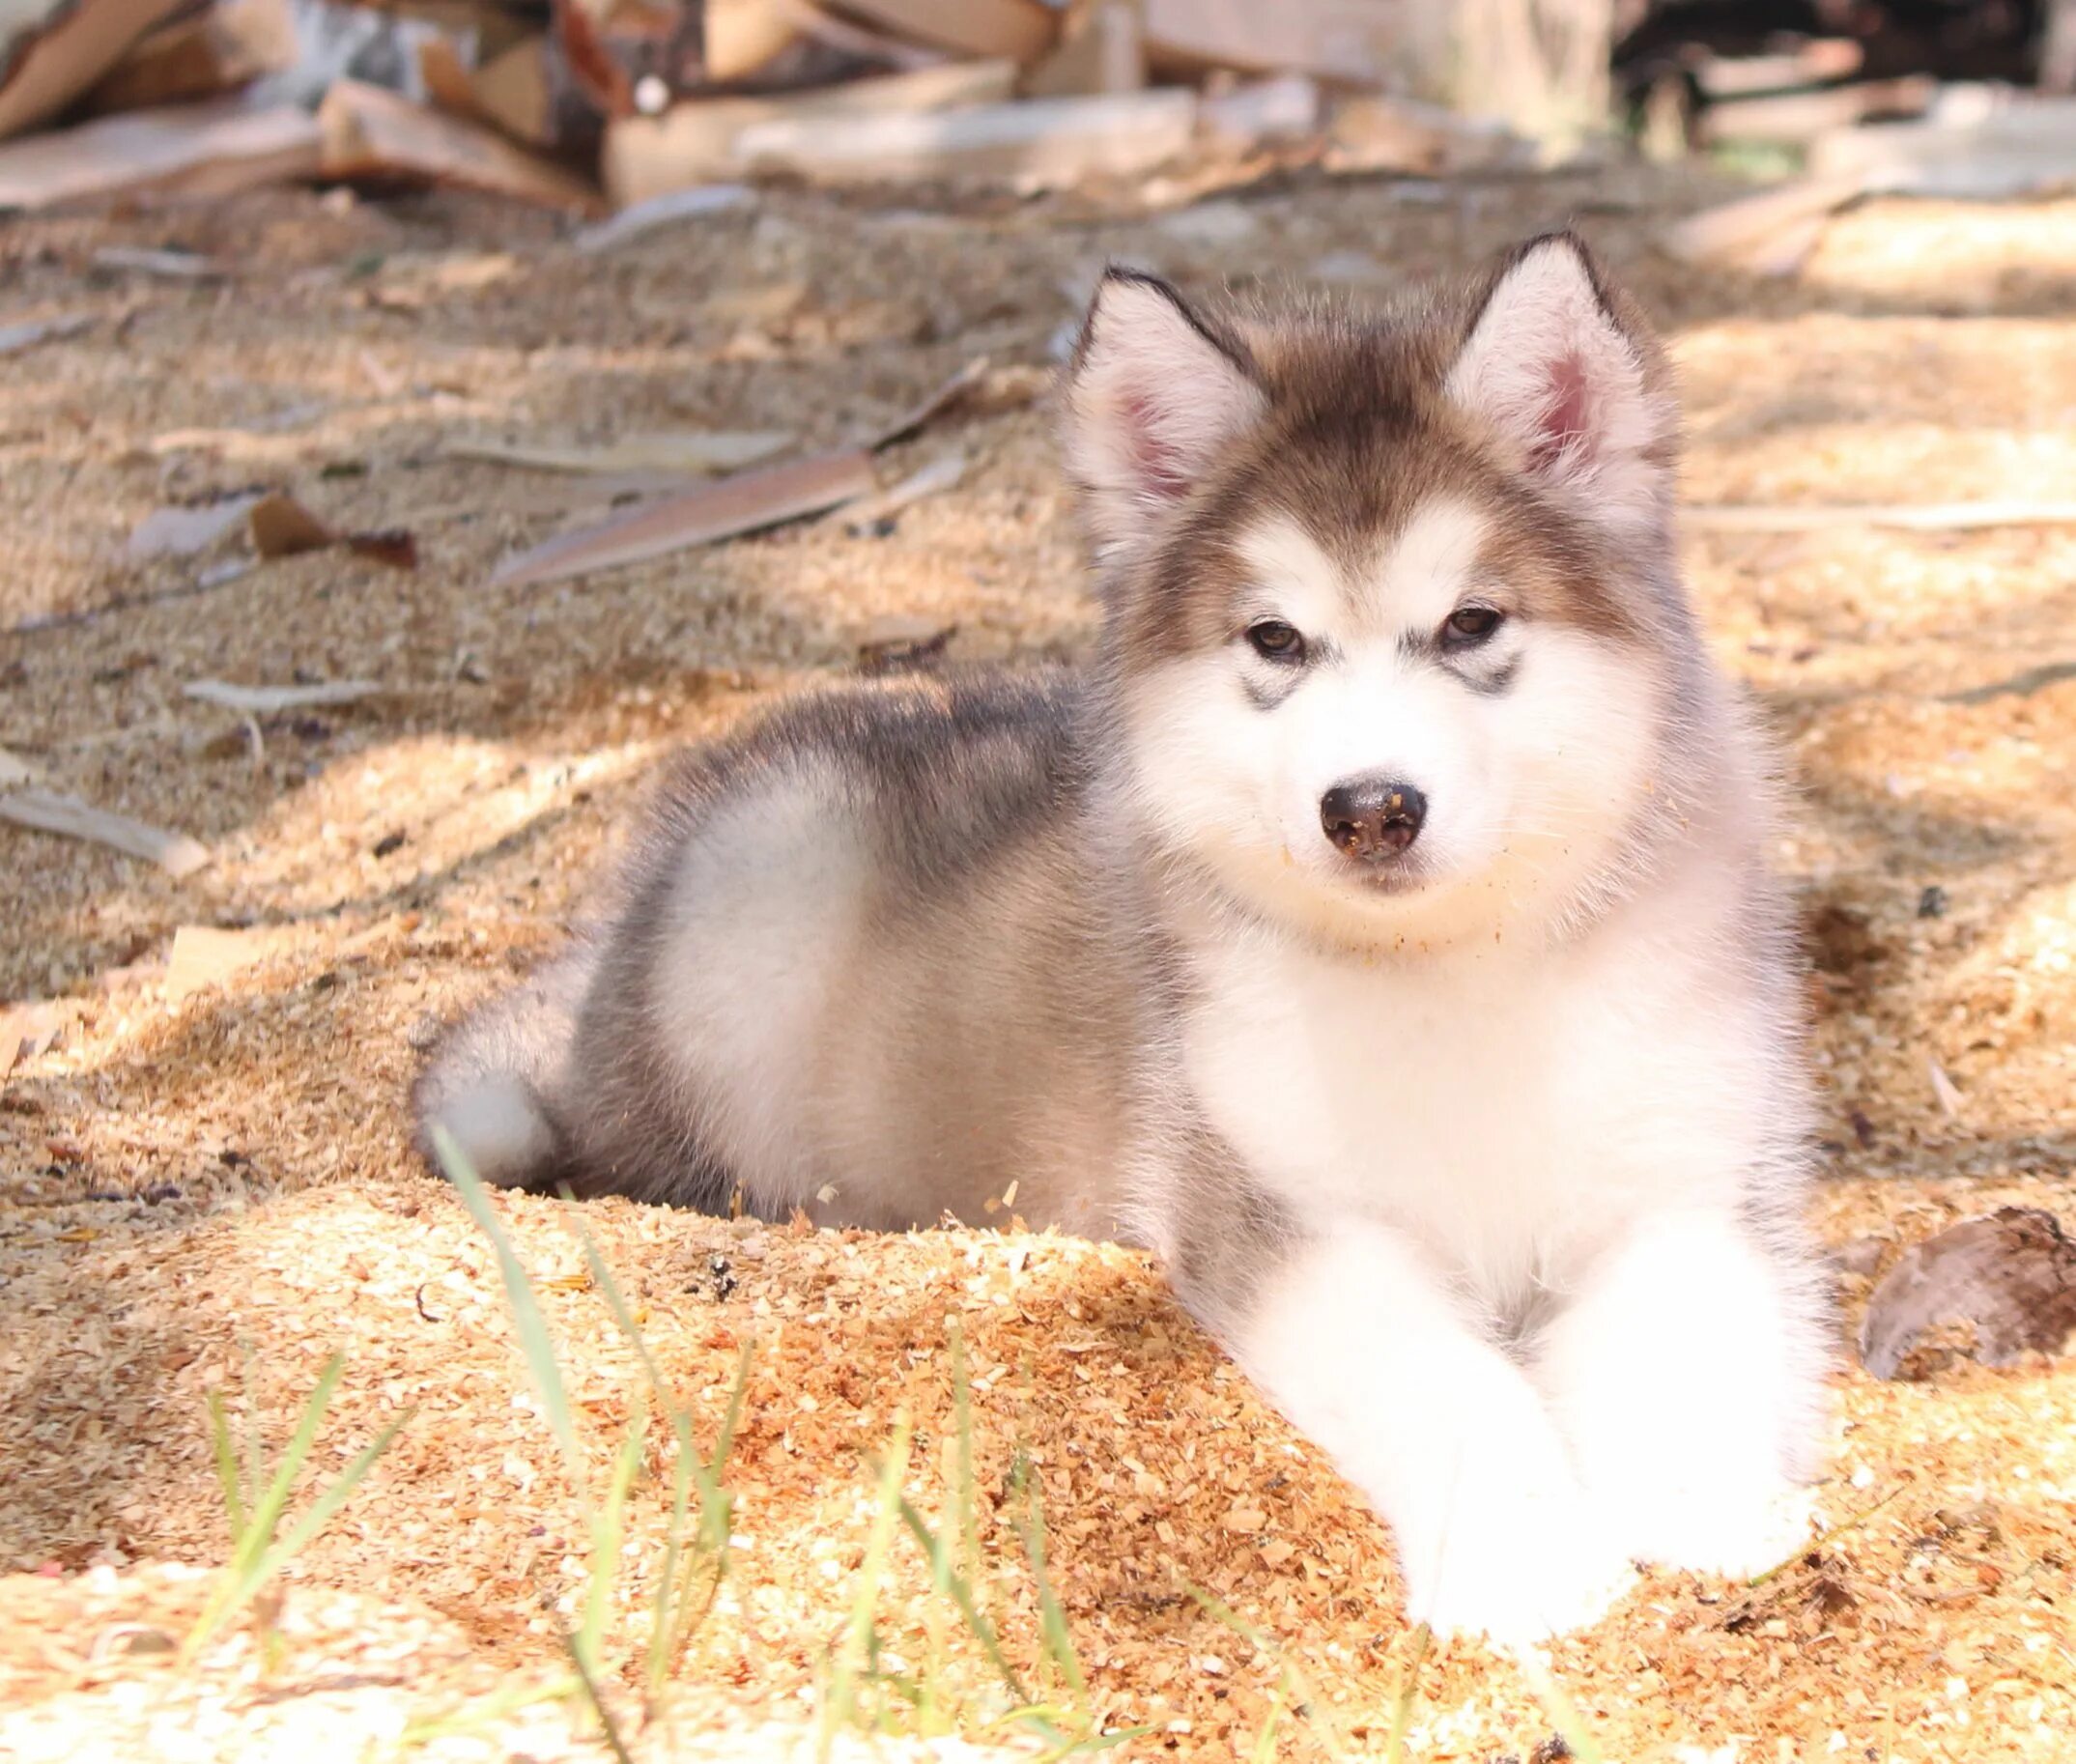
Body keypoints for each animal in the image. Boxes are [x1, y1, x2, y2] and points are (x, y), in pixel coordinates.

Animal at [421, 233, 1834, 1635]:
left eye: (1472, 623)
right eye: (1275, 637)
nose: (1370, 809)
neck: (1452, 977)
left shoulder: (1686, 1182)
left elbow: (1687, 1342)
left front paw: (1706, 1508)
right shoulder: (1269, 1206)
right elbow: (1445, 1380)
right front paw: (1521, 1552)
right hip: (765, 900)